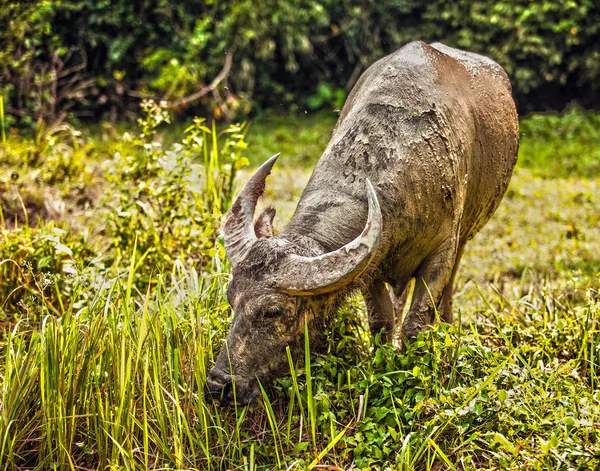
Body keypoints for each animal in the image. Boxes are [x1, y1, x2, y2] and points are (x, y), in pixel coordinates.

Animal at [204, 39, 516, 406]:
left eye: (273, 312)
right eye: (230, 298)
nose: (218, 385)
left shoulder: (442, 250)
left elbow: (417, 322)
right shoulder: (372, 266)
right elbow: (382, 321)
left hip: (465, 236)